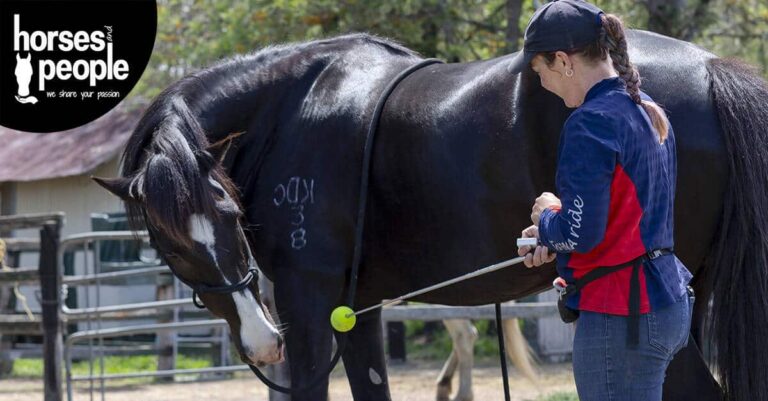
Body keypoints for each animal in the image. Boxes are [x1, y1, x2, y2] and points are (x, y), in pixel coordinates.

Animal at [94, 29, 768, 401]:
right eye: (172, 244)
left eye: (229, 213)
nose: (263, 343)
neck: (288, 111)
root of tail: (712, 70)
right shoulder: (357, 313)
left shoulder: (308, 307)